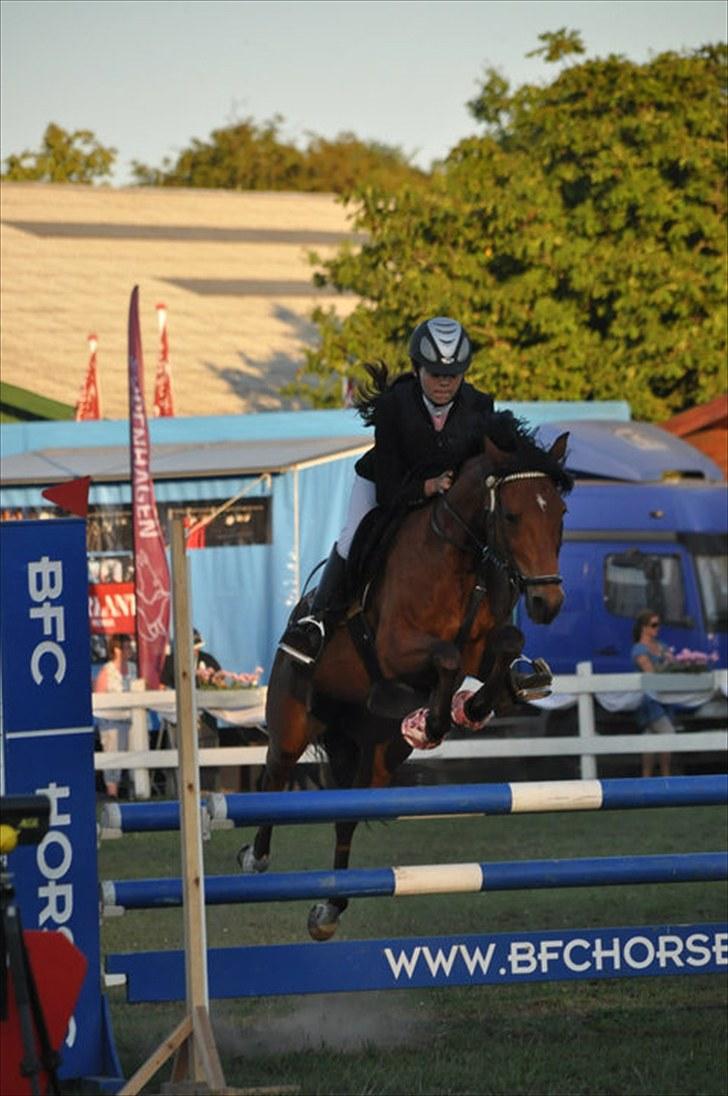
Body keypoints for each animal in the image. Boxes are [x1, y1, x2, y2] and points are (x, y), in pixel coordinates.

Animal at [239, 412, 572, 939]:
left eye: (559, 513)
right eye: (511, 516)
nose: (547, 604)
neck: (461, 559)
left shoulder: (482, 649)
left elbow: (504, 647)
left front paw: (475, 705)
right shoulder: (396, 648)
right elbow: (446, 658)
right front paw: (434, 720)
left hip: (377, 756)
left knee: (347, 817)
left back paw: (328, 910)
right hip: (292, 723)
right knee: (274, 781)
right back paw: (255, 857)